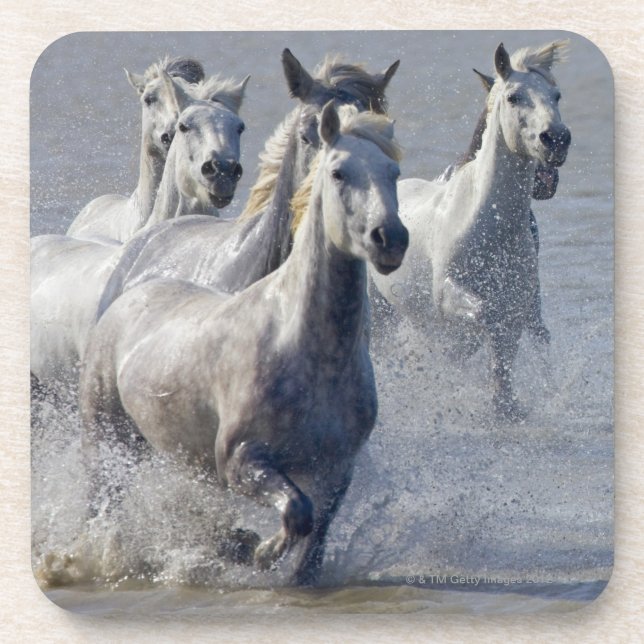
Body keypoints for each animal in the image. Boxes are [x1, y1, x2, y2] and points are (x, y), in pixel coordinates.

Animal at [78, 102, 409, 586]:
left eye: (393, 172)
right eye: (339, 173)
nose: (390, 239)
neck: (310, 353)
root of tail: (129, 292)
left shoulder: (336, 470)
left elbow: (314, 540)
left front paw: (259, 552)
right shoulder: (240, 459)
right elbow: (297, 511)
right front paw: (260, 551)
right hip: (107, 437)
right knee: (100, 502)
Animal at [371, 41, 571, 420]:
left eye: (557, 95)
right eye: (513, 97)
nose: (556, 140)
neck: (488, 224)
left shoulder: (519, 299)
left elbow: (514, 337)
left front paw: (506, 403)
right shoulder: (448, 292)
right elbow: (485, 318)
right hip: (379, 311)